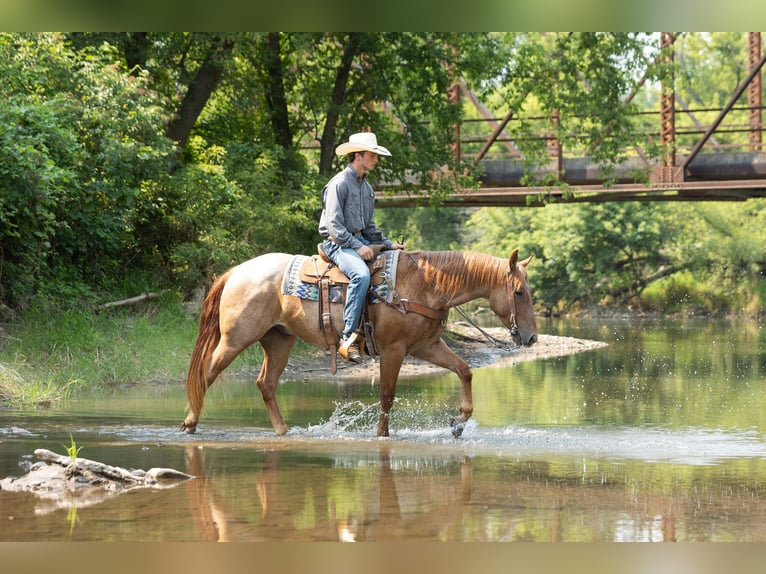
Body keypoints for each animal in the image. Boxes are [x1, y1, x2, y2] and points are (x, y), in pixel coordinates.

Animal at [181, 248, 537, 437]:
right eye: (519, 292)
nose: (532, 336)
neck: (424, 286)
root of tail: (236, 272)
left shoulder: (426, 346)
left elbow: (464, 370)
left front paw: (459, 422)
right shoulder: (394, 350)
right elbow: (387, 396)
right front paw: (382, 436)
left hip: (279, 340)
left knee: (265, 384)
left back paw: (283, 432)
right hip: (235, 339)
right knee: (206, 374)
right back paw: (189, 423)